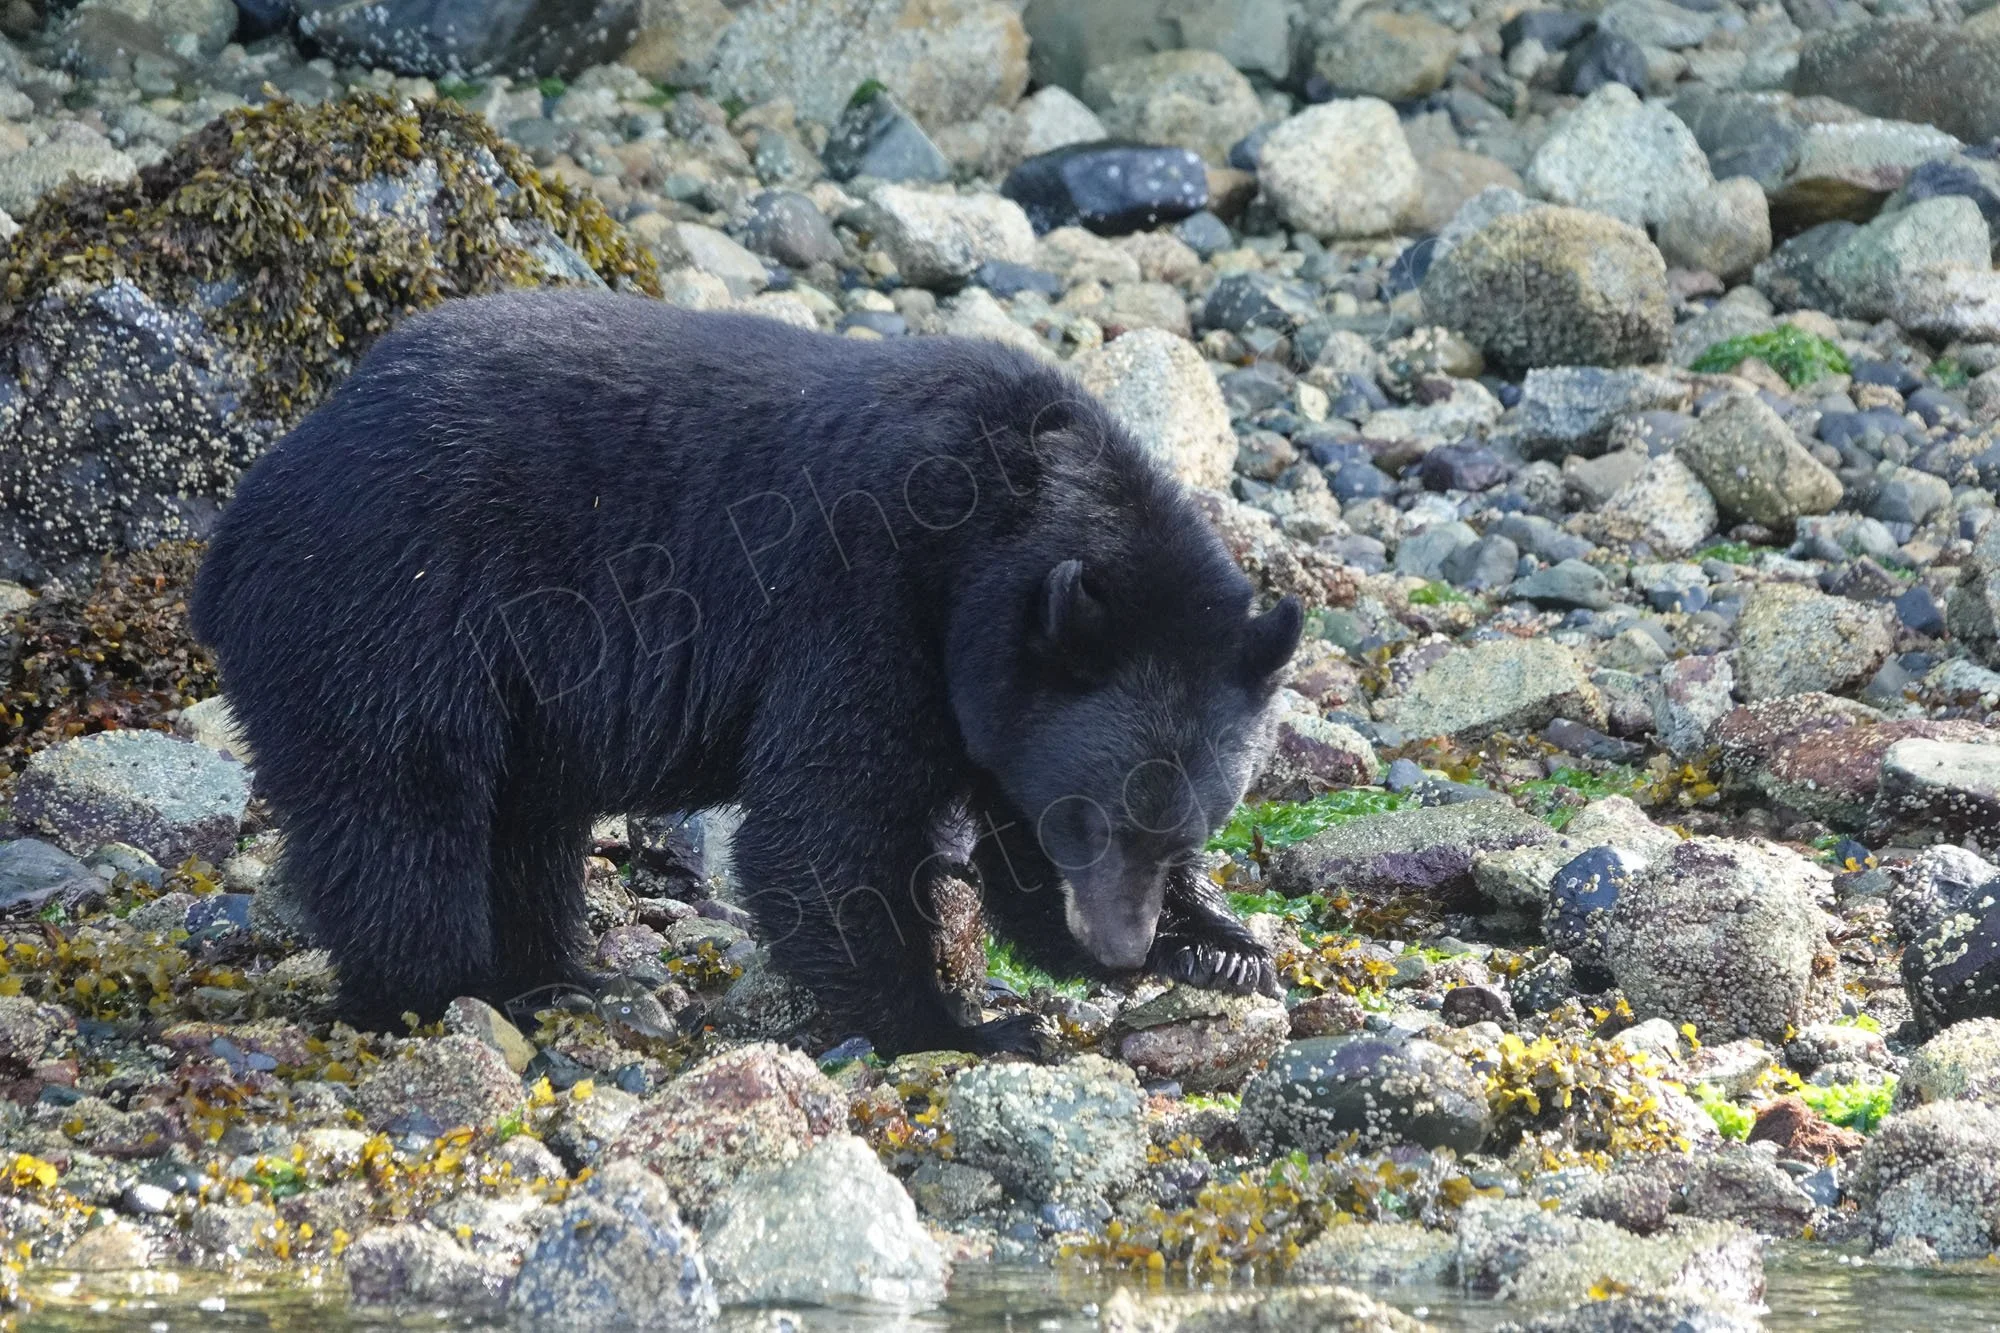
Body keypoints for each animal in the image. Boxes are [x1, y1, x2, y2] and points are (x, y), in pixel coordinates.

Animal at [191, 288, 1302, 1057]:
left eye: (1190, 827)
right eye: (1093, 816)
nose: (1120, 947)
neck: (1004, 520)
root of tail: (244, 512)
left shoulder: (995, 688)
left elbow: (1007, 844)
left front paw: (1221, 944)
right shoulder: (863, 604)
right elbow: (822, 826)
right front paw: (957, 1025)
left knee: (522, 814)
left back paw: (560, 973)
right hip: (387, 606)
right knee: (401, 802)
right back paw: (444, 989)